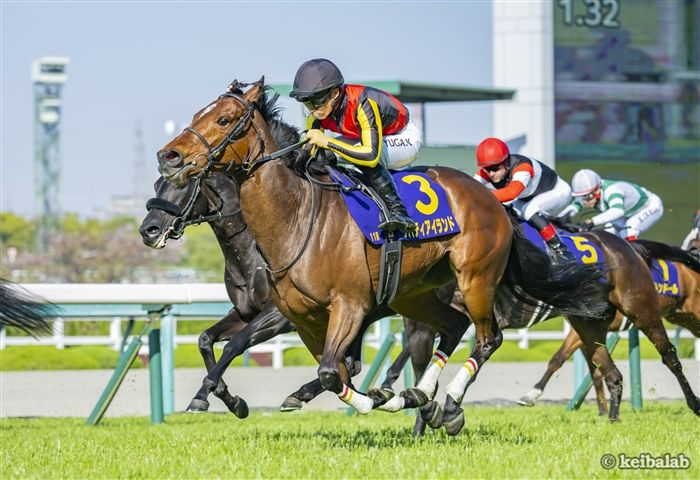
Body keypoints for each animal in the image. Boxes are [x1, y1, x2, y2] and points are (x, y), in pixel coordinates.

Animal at [155, 79, 611, 434]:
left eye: (224, 120)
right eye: (198, 114)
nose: (168, 156)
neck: (298, 217)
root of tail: (492, 199)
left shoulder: (345, 307)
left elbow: (326, 369)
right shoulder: (301, 318)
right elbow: (332, 369)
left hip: (475, 278)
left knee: (487, 338)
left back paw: (448, 405)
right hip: (413, 295)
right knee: (453, 327)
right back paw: (422, 397)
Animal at [518, 239, 700, 412]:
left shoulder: (582, 331)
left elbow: (559, 357)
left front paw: (532, 394)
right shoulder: (585, 331)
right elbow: (594, 369)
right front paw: (603, 410)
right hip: (683, 317)